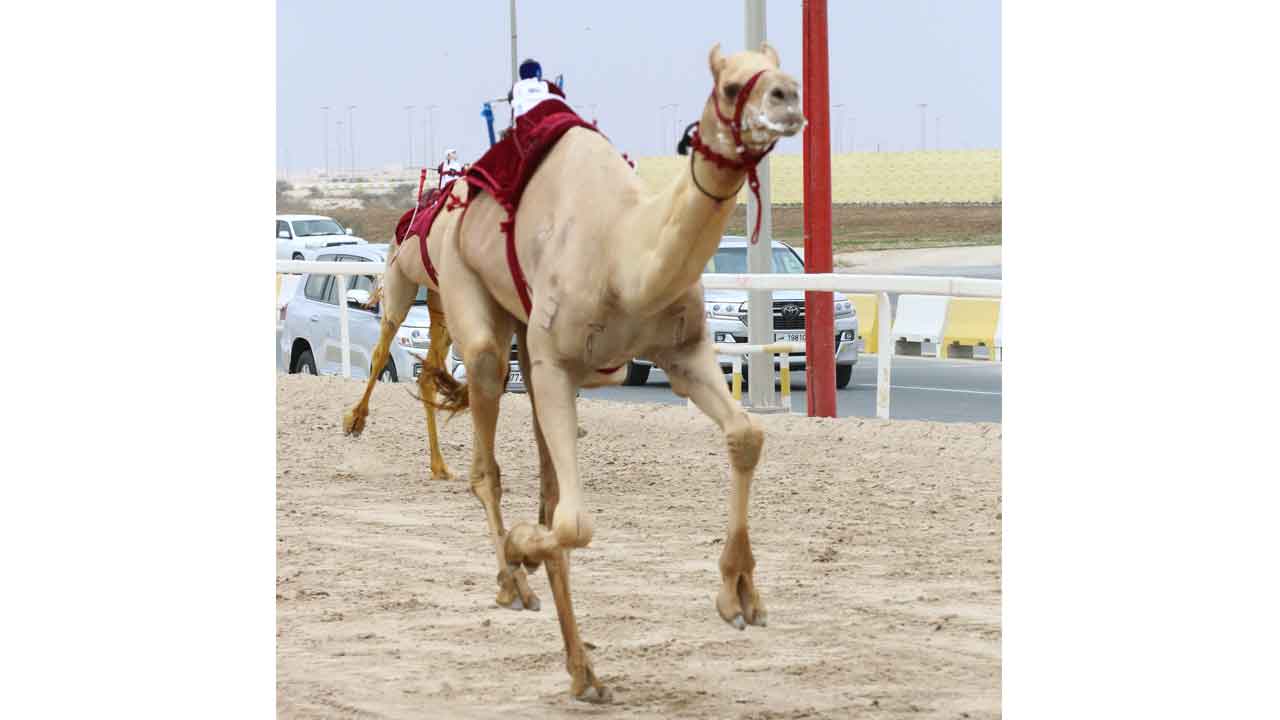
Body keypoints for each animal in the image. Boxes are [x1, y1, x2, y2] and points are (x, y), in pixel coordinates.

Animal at [425, 43, 804, 702]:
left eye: (780, 70)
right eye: (730, 87)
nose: (788, 100)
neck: (624, 258)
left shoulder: (685, 352)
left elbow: (747, 433)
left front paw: (739, 591)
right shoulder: (556, 361)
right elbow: (574, 521)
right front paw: (521, 547)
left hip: (528, 335)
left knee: (546, 484)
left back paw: (584, 671)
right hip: (468, 288)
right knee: (487, 447)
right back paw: (512, 579)